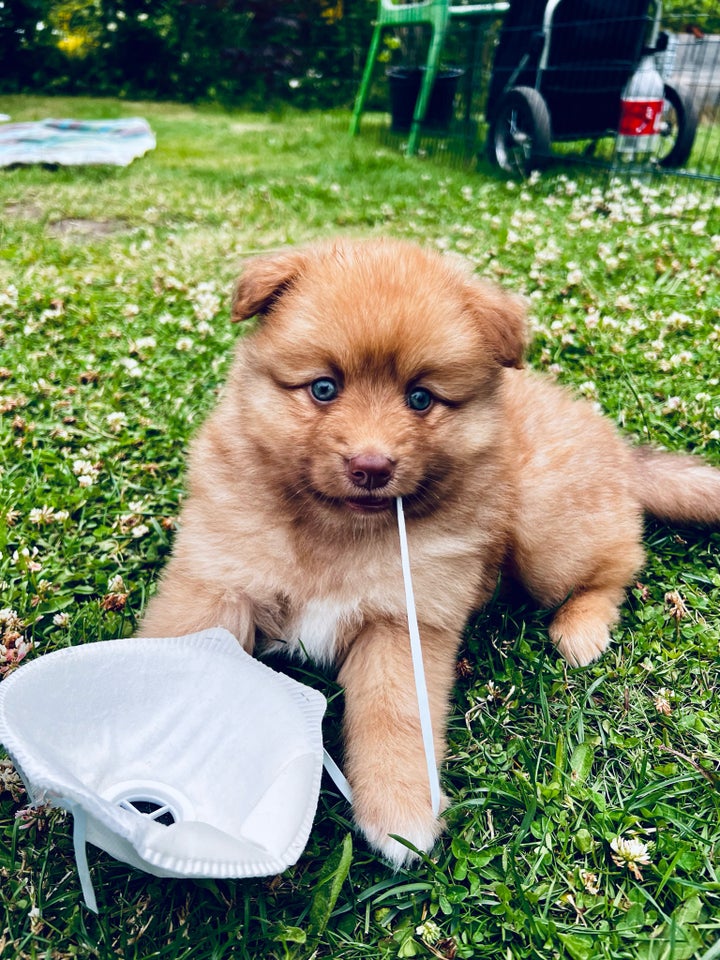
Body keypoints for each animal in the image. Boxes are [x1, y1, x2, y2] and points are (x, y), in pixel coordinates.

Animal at [141, 236, 720, 868]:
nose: (371, 466)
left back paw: (580, 629)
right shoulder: (215, 582)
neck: (333, 531)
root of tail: (615, 445)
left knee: (619, 565)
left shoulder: (404, 623)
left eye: (420, 398)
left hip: (546, 530)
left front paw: (401, 815)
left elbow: (396, 720)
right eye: (324, 388)